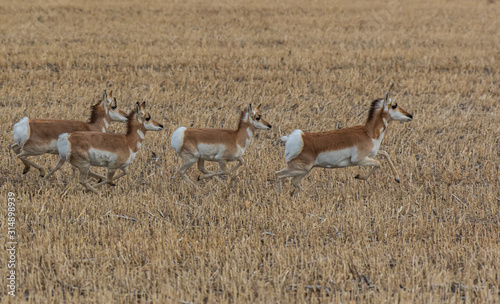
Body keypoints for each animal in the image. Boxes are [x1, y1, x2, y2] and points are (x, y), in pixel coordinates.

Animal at [276, 85, 412, 190]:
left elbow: (385, 153)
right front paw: (359, 176)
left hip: (305, 170)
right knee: (278, 174)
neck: (368, 132)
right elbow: (378, 163)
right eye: (394, 105)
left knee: (294, 181)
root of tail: (300, 138)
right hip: (300, 169)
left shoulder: (372, 154)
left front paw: (397, 178)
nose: (410, 115)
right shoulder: (360, 160)